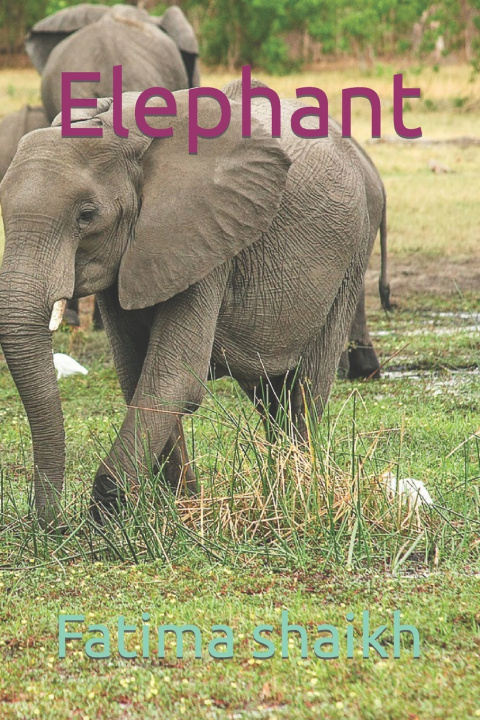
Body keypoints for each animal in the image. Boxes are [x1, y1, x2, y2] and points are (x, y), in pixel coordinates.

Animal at [0, 85, 373, 525]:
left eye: (86, 216)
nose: (53, 525)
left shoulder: (206, 236)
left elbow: (173, 376)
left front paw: (106, 515)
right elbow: (136, 373)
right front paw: (180, 508)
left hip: (350, 258)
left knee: (305, 387)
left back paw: (297, 491)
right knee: (270, 395)